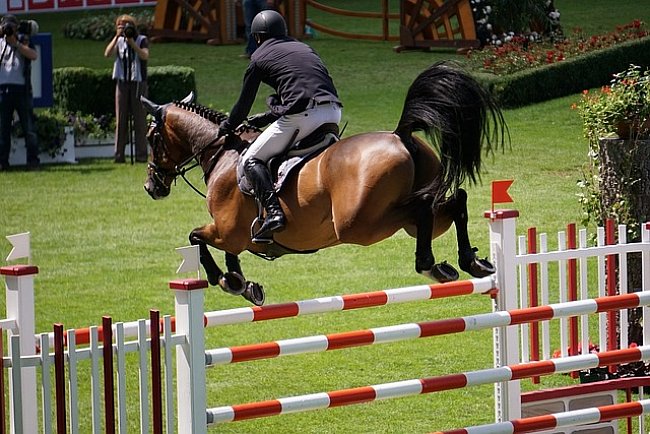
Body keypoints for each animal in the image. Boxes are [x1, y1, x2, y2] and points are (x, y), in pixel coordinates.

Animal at [140, 62, 506, 306]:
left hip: (361, 225)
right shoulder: (235, 235)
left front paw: (228, 281)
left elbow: (196, 238)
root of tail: (400, 136)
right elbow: (225, 251)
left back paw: (429, 265)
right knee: (452, 203)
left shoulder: (227, 230)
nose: (151, 187)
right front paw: (244, 283)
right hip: (407, 220)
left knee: (422, 208)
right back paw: (470, 262)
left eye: (152, 137)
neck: (223, 154)